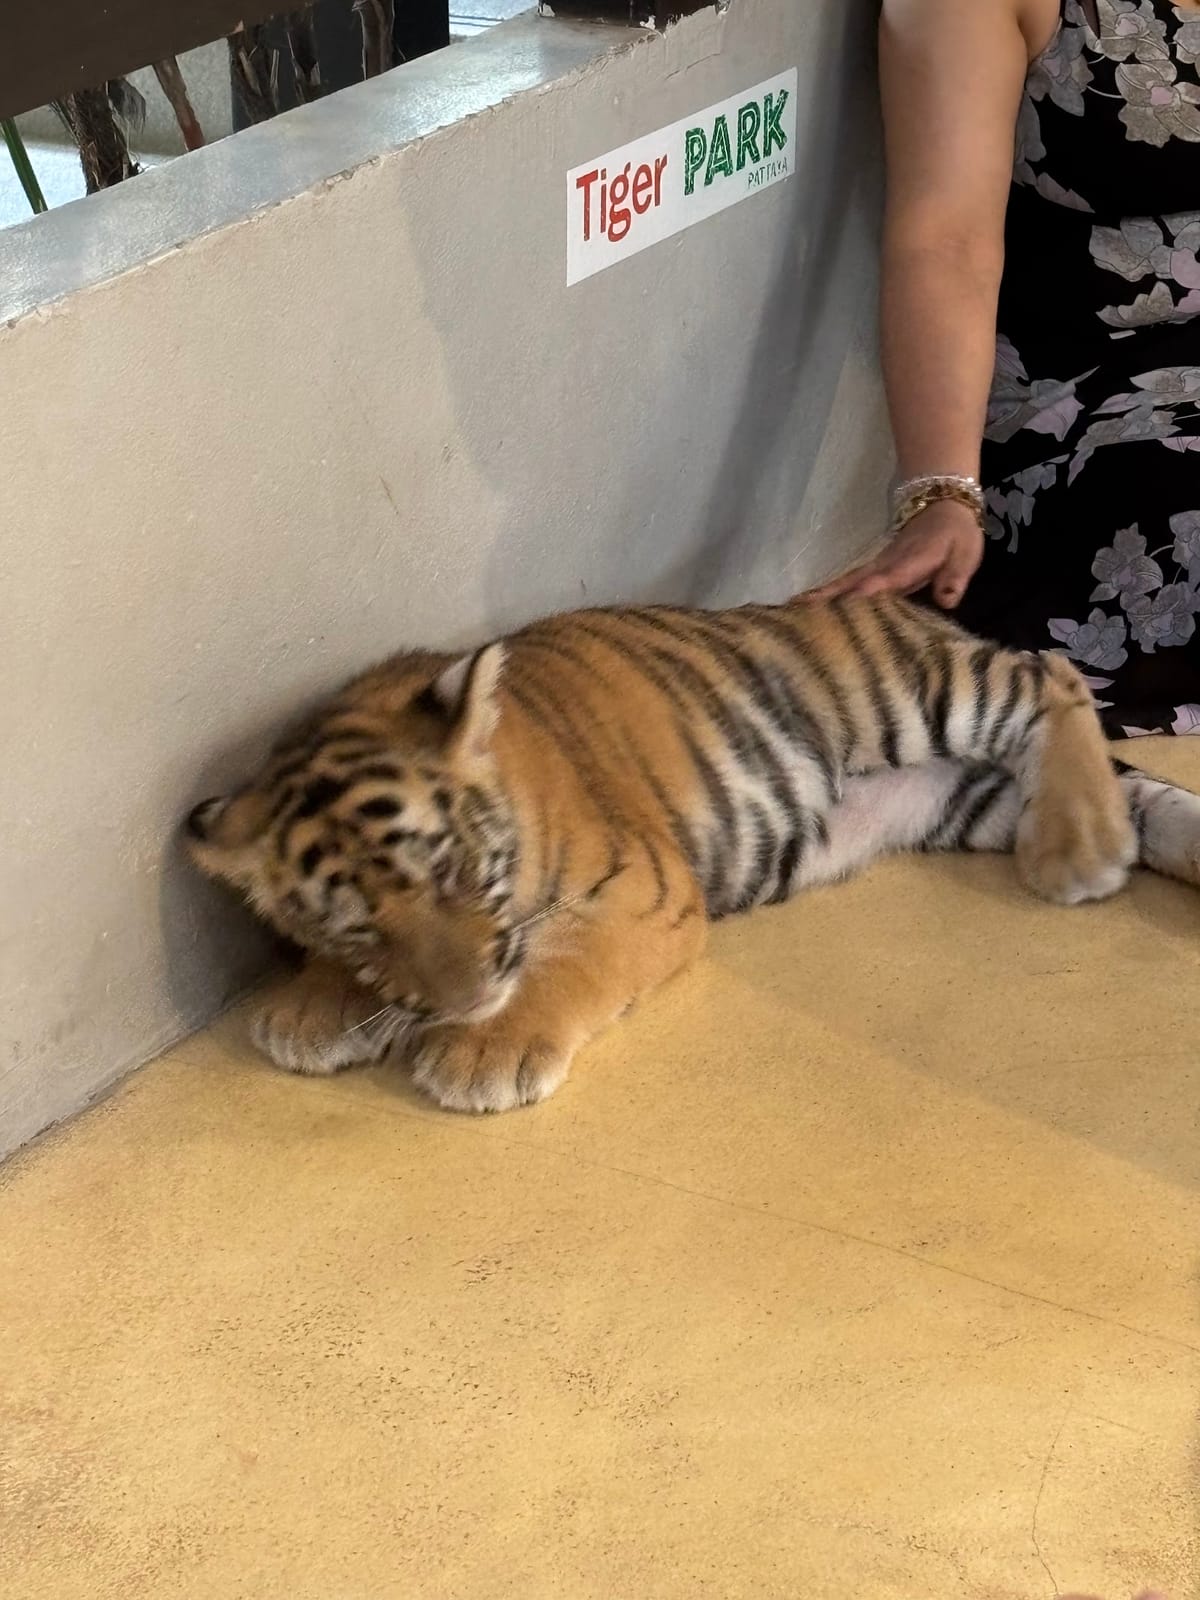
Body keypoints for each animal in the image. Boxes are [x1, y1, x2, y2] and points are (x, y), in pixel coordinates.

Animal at [185, 593, 1200, 1113]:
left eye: (457, 873)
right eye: (359, 931)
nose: (465, 1002)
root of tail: (894, 603)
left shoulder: (646, 889)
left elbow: (570, 963)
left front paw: (484, 1051)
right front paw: (311, 1007)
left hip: (913, 693)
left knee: (1051, 671)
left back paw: (1081, 848)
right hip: (963, 793)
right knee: (1145, 798)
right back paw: (1119, 836)